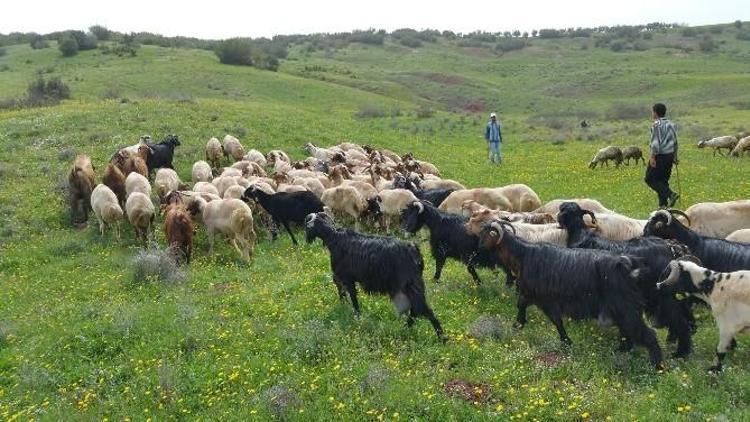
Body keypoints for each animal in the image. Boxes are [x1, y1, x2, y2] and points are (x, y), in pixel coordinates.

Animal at [306, 213, 446, 342]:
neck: (334, 237)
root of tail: (414, 249)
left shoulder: (345, 278)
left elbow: (352, 298)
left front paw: (356, 316)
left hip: (410, 284)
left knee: (422, 309)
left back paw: (440, 337)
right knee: (416, 309)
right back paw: (407, 328)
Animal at [478, 221, 668, 370]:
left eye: (485, 235)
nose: (477, 248)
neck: (523, 255)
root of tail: (629, 267)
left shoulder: (547, 300)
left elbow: (556, 320)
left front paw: (566, 341)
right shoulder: (530, 294)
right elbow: (522, 305)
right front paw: (519, 324)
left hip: (625, 307)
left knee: (646, 334)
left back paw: (657, 365)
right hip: (621, 309)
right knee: (628, 335)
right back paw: (619, 352)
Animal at [560, 201, 700, 356]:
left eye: (563, 209)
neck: (580, 235)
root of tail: (671, 248)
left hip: (660, 295)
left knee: (679, 320)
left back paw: (681, 353)